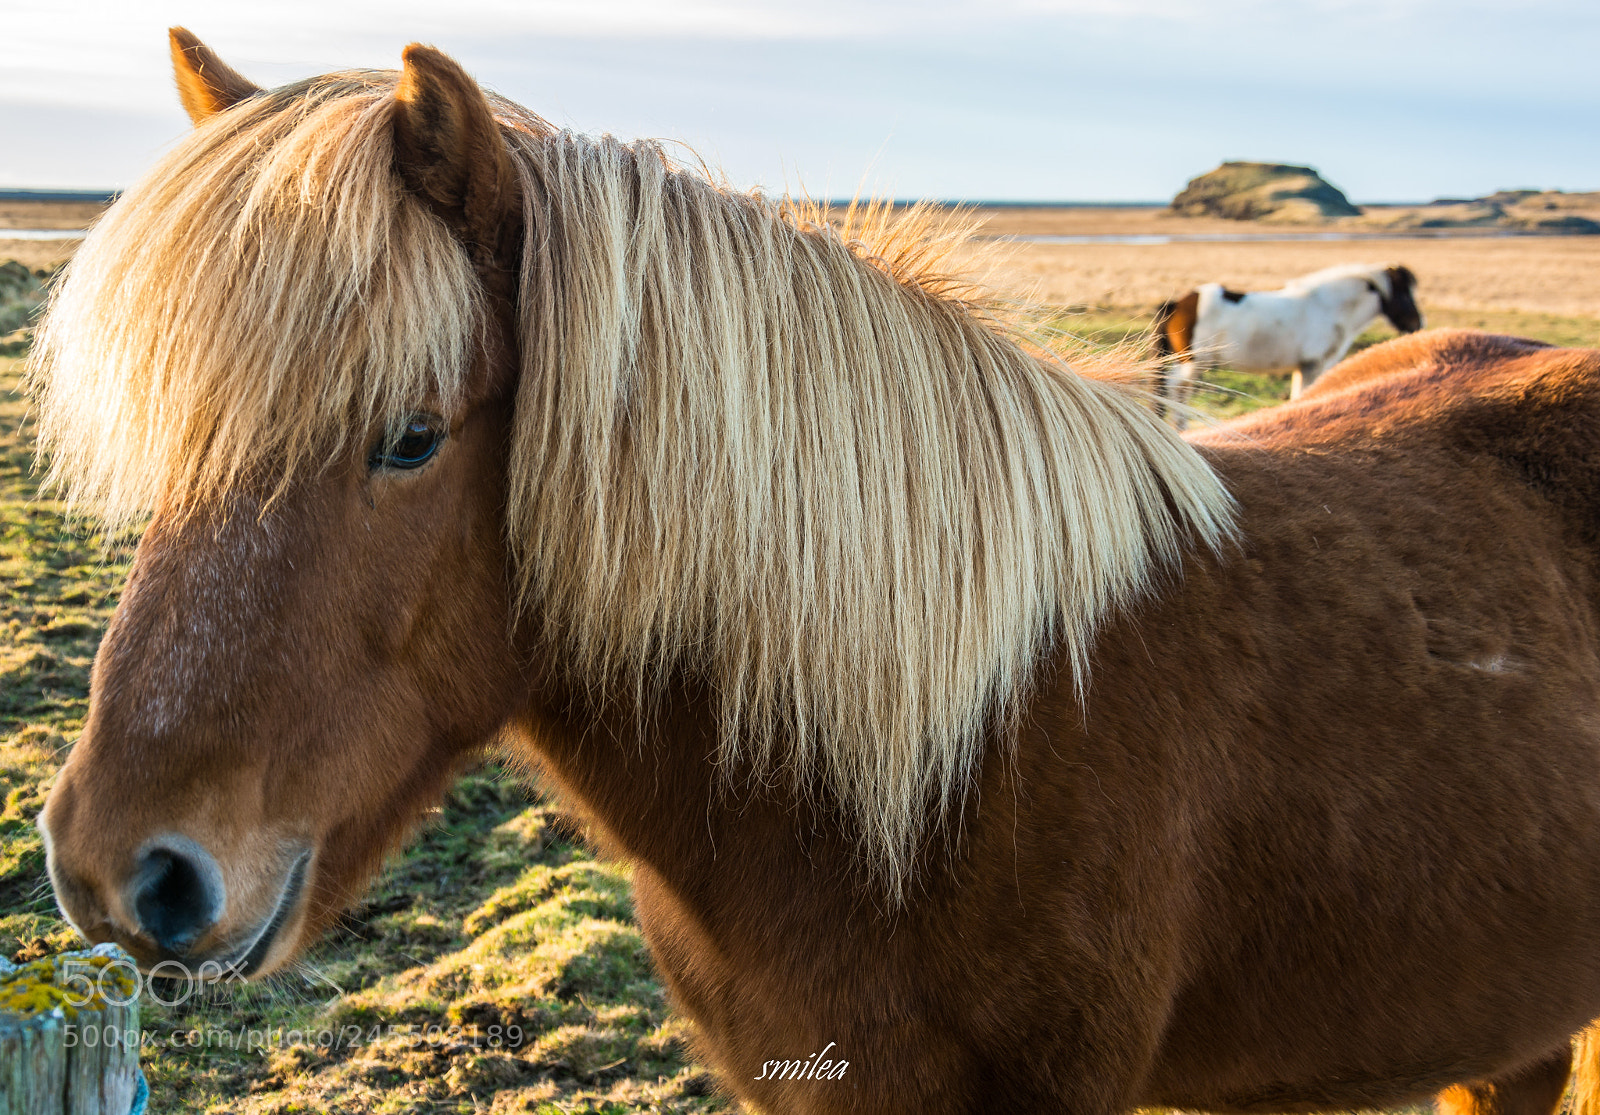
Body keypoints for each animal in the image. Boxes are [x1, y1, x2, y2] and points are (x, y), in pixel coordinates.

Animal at [1153, 261, 1424, 425]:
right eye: (1403, 294)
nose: (1418, 324)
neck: (1329, 307)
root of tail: (1178, 304)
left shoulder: (1303, 367)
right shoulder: (1312, 365)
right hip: (1192, 363)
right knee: (1177, 390)